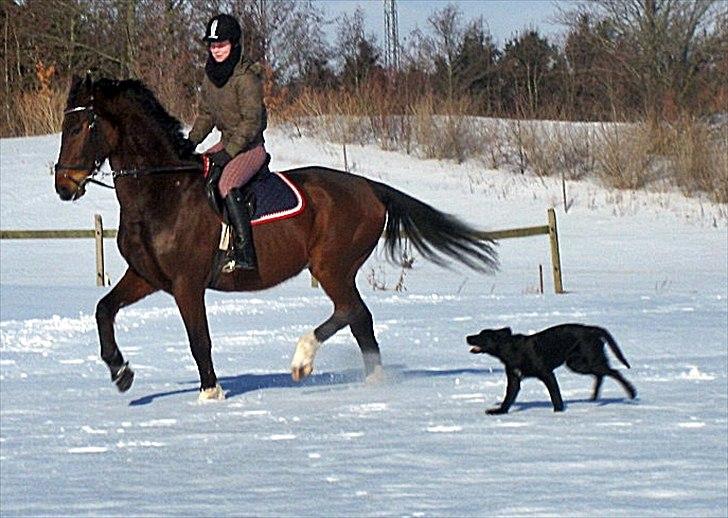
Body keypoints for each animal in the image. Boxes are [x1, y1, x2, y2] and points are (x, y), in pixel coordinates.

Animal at [54, 75, 498, 402]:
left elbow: (199, 340)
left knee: (352, 312)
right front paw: (121, 373)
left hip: (331, 266)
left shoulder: (186, 284)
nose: (63, 186)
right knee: (360, 319)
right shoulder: (146, 276)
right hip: (336, 269)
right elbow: (103, 310)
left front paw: (210, 394)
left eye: (78, 127)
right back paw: (371, 380)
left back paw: (303, 361)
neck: (164, 190)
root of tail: (369, 188)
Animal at [470, 324, 636, 414]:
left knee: (613, 372)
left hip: (589, 361)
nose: (467, 337)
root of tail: (592, 329)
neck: (511, 349)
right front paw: (499, 412)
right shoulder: (514, 380)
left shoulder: (547, 374)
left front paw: (558, 413)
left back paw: (631, 393)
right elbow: (508, 399)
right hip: (577, 364)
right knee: (601, 375)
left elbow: (555, 396)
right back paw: (593, 399)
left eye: (481, 335)